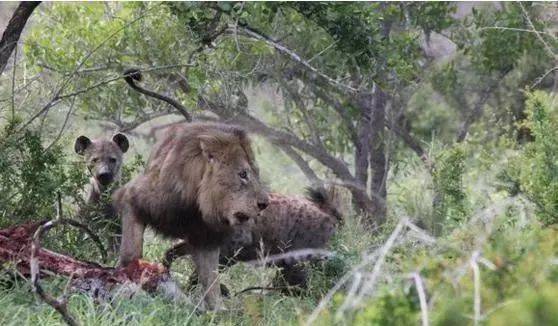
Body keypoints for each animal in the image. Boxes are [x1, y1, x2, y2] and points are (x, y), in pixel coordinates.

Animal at [114, 121, 270, 308]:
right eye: (243, 174)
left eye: (257, 174)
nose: (265, 204)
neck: (195, 205)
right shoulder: (133, 197)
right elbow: (131, 251)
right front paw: (130, 275)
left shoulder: (208, 239)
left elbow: (211, 282)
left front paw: (217, 309)